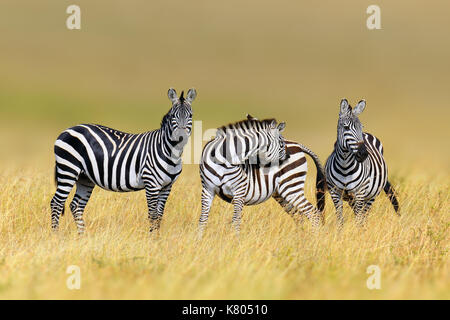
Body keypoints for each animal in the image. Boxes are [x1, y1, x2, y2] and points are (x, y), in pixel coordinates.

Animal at [50, 89, 196, 234]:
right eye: (173, 116)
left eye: (190, 116)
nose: (181, 138)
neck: (168, 151)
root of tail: (67, 130)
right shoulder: (151, 184)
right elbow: (153, 215)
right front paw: (152, 238)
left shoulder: (167, 187)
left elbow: (159, 215)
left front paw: (157, 237)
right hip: (68, 169)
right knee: (56, 203)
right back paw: (56, 235)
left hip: (85, 178)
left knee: (76, 206)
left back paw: (82, 236)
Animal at [324, 99, 400, 229]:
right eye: (346, 127)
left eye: (361, 126)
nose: (363, 154)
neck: (344, 167)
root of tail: (367, 134)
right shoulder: (335, 193)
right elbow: (340, 220)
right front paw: (340, 234)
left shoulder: (359, 193)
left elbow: (359, 220)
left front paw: (357, 233)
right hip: (352, 199)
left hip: (371, 196)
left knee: (364, 216)